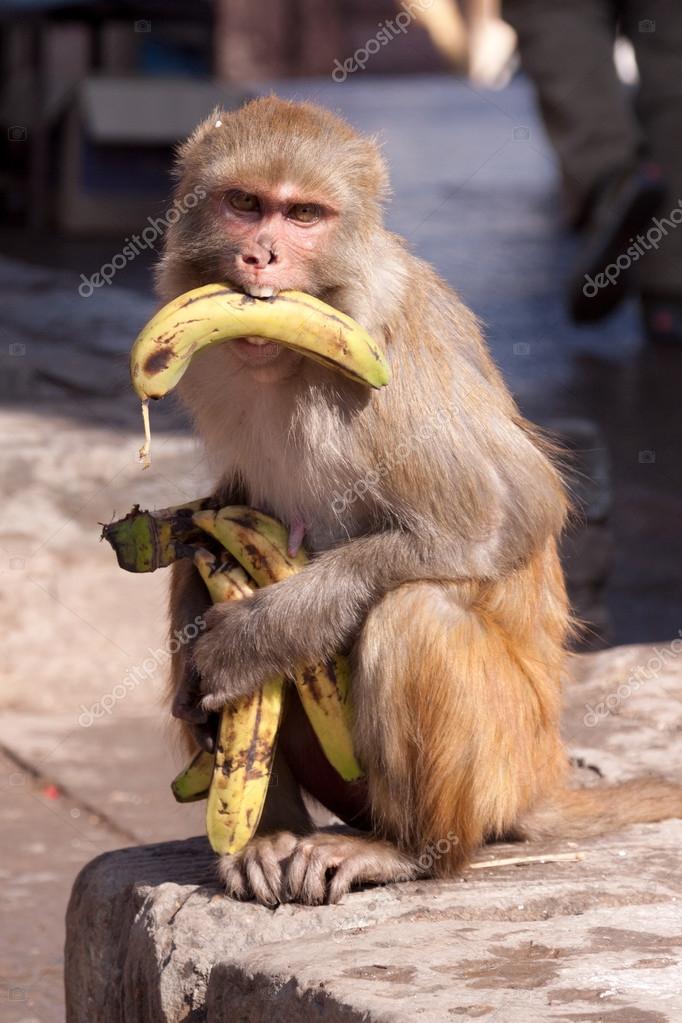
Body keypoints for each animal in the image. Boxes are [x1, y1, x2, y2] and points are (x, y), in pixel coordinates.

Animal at [157, 96, 682, 907]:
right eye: (245, 204)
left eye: (303, 215)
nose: (261, 257)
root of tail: (544, 777)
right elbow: (219, 517)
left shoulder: (390, 374)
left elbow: (500, 518)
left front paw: (249, 640)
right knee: (207, 563)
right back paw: (272, 834)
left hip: (503, 764)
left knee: (417, 611)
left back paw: (408, 851)